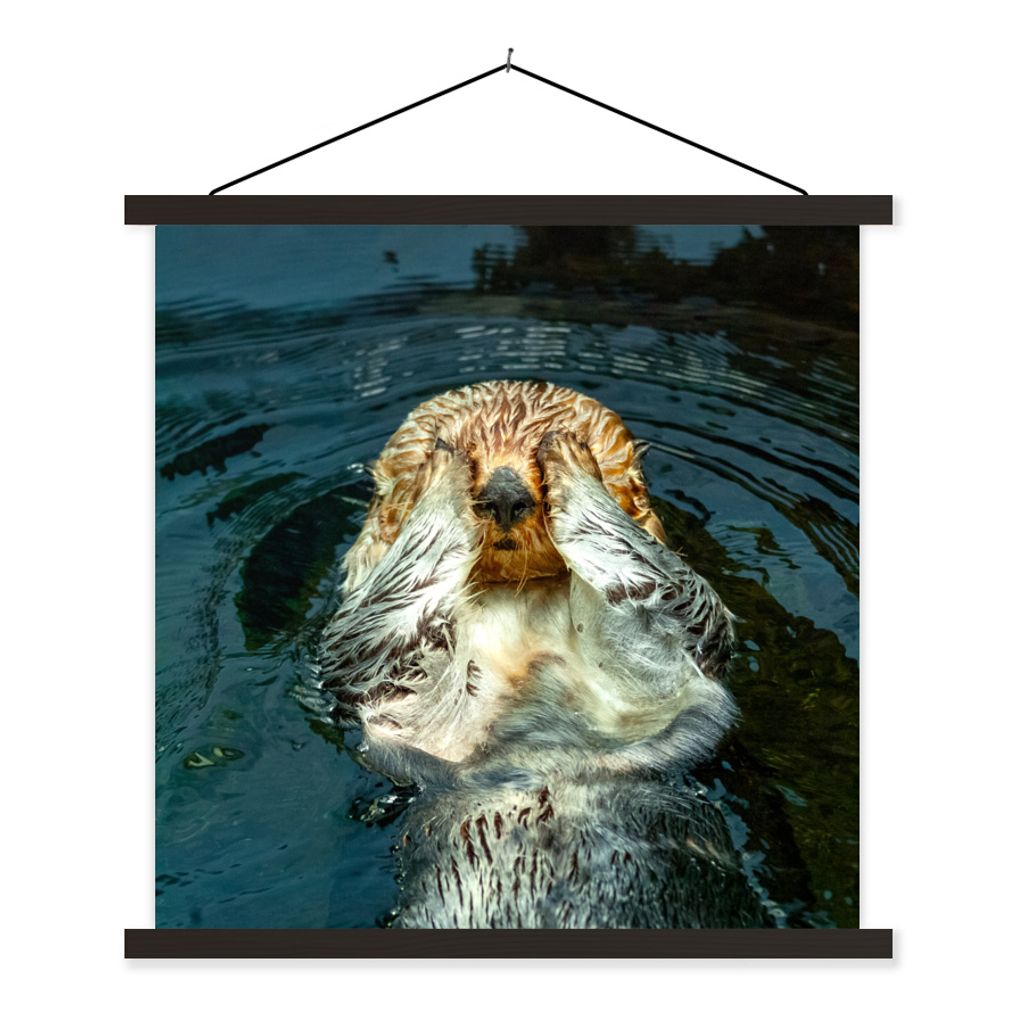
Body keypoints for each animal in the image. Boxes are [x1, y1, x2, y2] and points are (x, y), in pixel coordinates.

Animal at [318, 379, 768, 927]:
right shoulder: (380, 672)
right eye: (463, 443)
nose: (505, 493)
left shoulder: (672, 659)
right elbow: (384, 619)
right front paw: (441, 469)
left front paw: (572, 458)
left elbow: (659, 587)